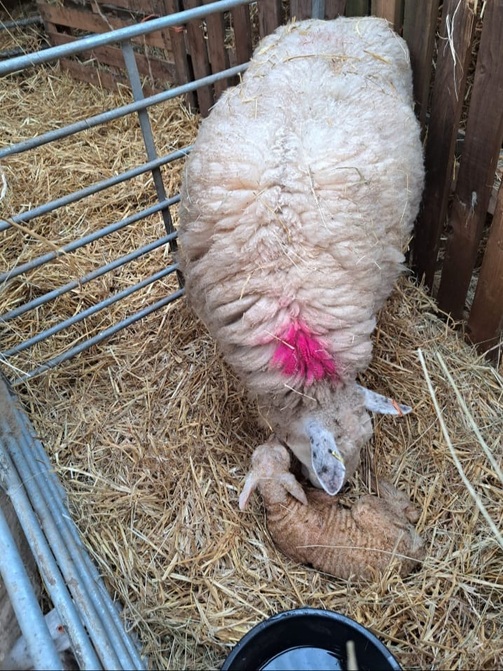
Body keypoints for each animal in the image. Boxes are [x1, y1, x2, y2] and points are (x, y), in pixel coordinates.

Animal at [240, 443, 425, 580]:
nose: (271, 443)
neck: (280, 504)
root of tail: (411, 557)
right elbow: (330, 497)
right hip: (367, 509)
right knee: (406, 510)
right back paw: (370, 473)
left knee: (412, 514)